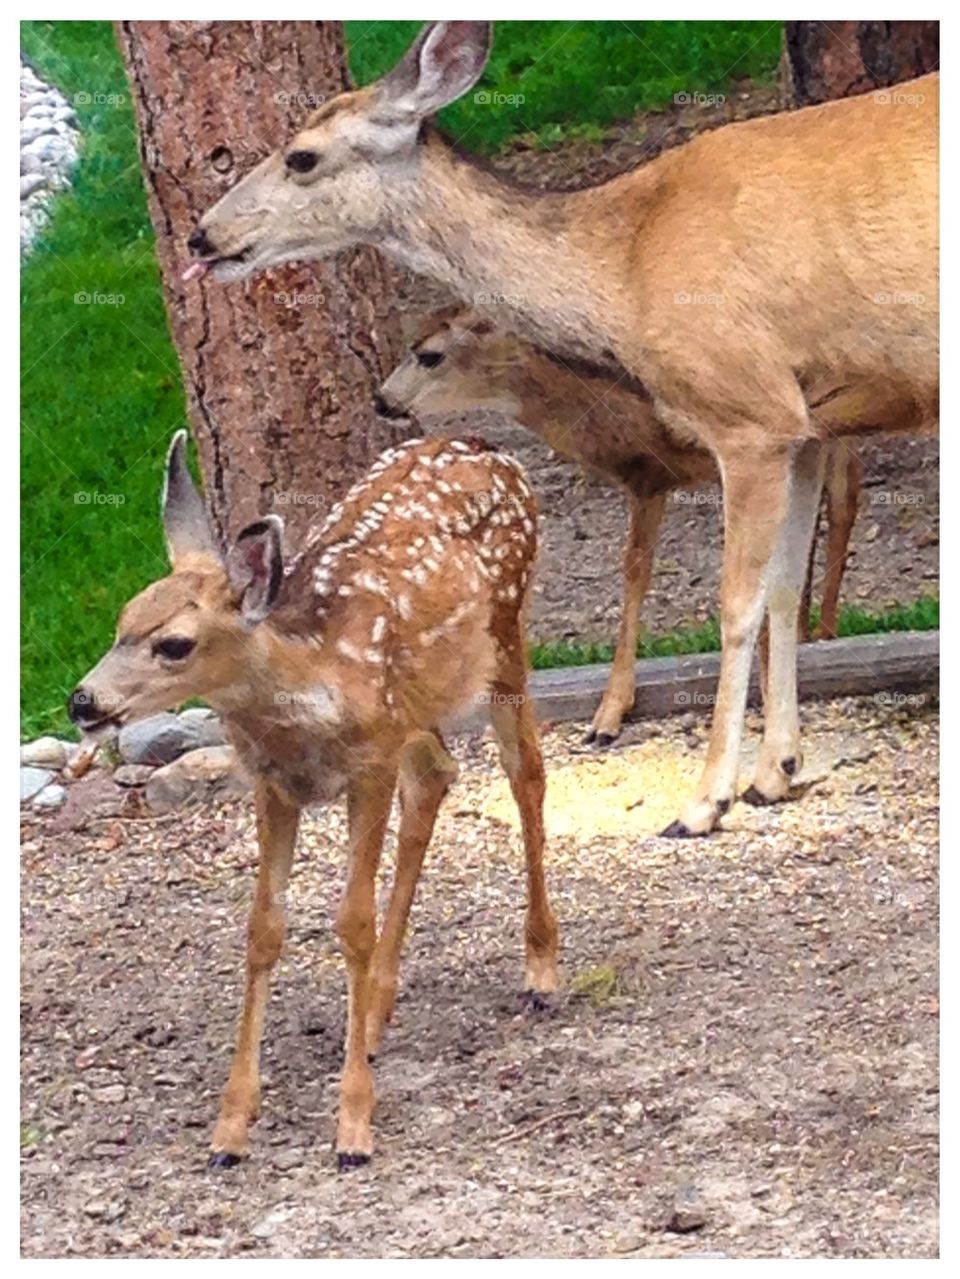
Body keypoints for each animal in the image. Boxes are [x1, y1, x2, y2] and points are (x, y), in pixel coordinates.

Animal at [68, 430, 559, 1171]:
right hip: (416, 704)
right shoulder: (274, 784)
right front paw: (230, 1128)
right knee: (437, 773)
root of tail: (483, 445)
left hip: (504, 634)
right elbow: (263, 928)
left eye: (174, 644)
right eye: (122, 620)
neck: (311, 681)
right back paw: (376, 1016)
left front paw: (353, 1126)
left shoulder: (368, 765)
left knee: (524, 769)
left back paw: (541, 971)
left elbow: (351, 921)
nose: (82, 701)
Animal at [377, 306, 863, 745]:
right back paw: (810, 629)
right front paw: (608, 713)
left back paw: (824, 631)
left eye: (429, 355)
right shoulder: (649, 479)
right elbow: (635, 571)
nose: (381, 400)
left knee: (844, 501)